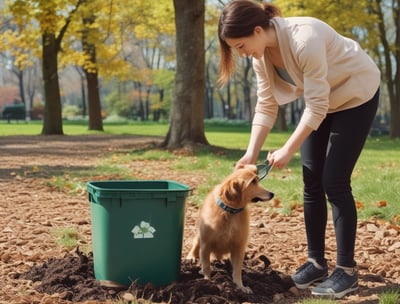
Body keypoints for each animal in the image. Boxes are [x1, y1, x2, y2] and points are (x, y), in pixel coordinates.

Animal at [186, 165, 274, 294]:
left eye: (257, 180)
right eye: (253, 182)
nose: (272, 194)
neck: (230, 211)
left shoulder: (239, 247)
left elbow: (237, 270)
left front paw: (240, 286)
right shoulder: (206, 244)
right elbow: (206, 265)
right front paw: (208, 281)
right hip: (199, 236)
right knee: (195, 245)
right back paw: (191, 256)